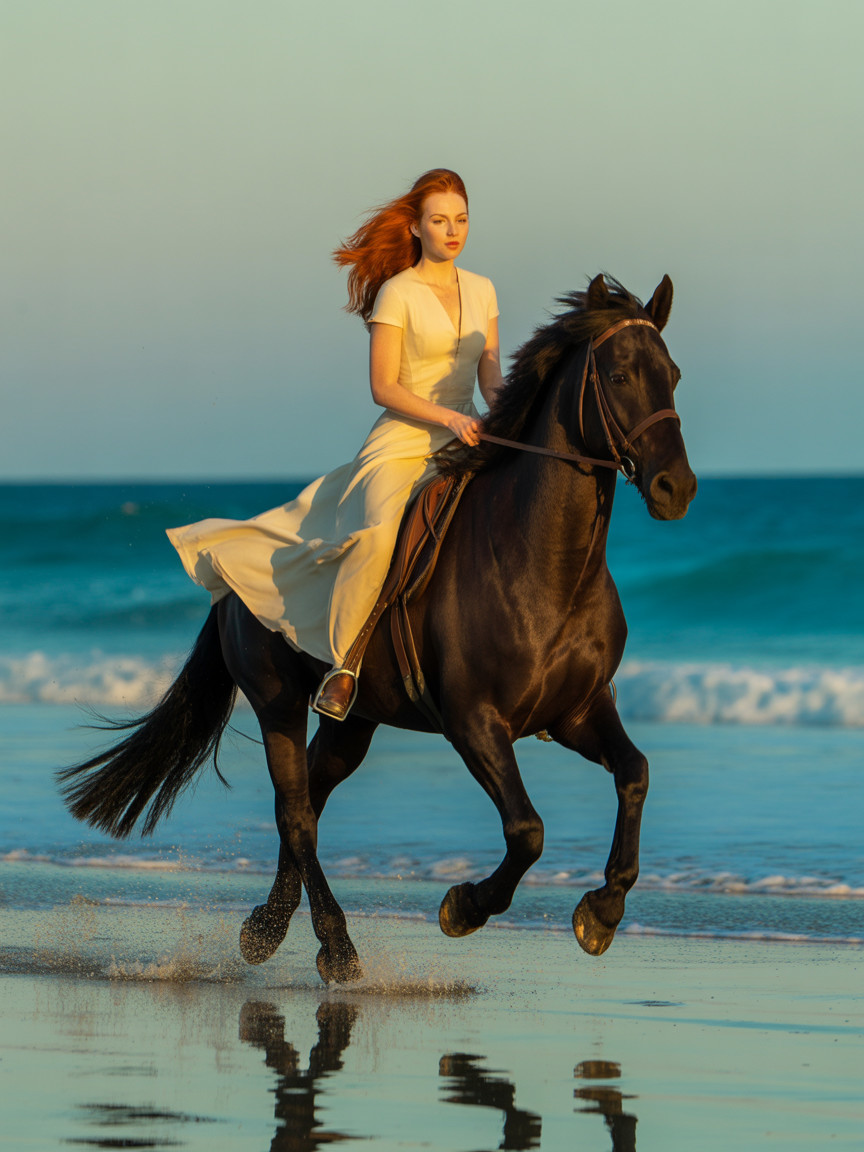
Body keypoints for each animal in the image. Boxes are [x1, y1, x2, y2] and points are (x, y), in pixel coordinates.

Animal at [58, 274, 697, 985]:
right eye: (618, 375)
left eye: (672, 375)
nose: (676, 488)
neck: (542, 565)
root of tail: (225, 583)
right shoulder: (474, 722)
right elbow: (527, 831)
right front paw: (463, 907)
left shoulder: (577, 711)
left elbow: (635, 773)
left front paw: (602, 912)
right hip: (279, 703)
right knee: (297, 814)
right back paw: (336, 947)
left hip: (353, 722)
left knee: (306, 802)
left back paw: (266, 929)